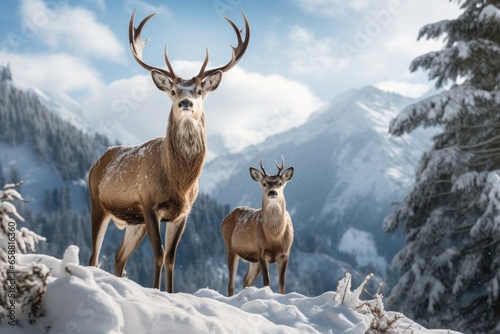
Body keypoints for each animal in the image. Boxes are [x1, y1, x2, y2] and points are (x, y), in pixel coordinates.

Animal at [222, 158, 292, 296]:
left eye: (280, 183)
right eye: (264, 183)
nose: (272, 192)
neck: (275, 238)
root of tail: (225, 219)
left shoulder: (285, 253)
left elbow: (282, 283)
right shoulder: (261, 252)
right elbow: (267, 281)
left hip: (253, 260)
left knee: (246, 280)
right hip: (230, 247)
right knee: (231, 283)